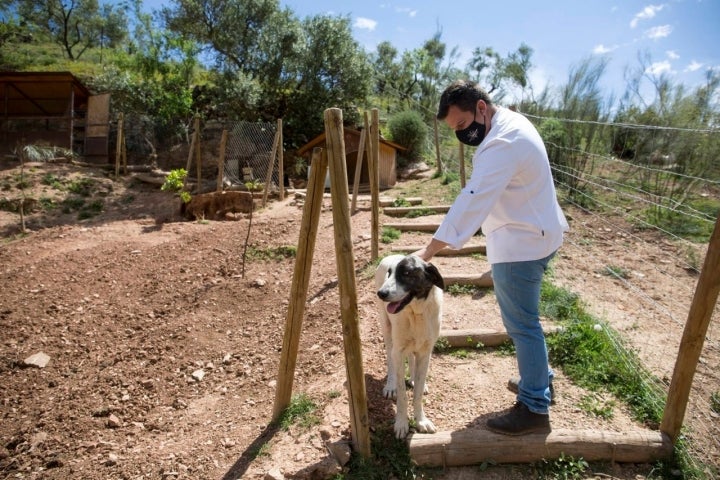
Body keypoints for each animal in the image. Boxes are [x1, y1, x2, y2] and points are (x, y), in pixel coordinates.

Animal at [376, 255, 444, 438]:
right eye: (389, 273)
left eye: (406, 273)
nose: (381, 293)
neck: (416, 312)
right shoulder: (398, 351)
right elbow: (402, 395)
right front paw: (401, 423)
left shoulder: (426, 352)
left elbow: (418, 394)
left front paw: (421, 420)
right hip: (387, 329)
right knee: (390, 358)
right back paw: (390, 385)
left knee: (413, 358)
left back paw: (413, 379)